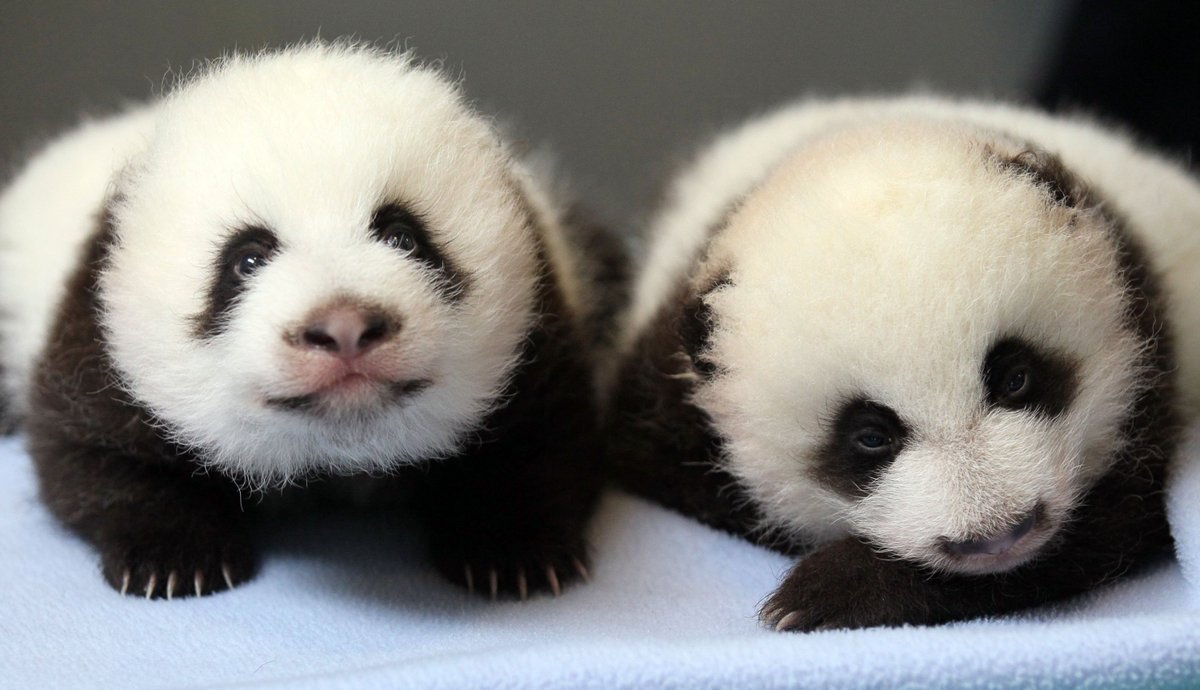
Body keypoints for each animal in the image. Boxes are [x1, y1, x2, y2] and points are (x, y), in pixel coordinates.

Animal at [0, 43, 605, 601]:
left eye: (403, 236)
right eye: (247, 259)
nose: (345, 328)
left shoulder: (538, 316)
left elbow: (541, 436)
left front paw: (516, 554)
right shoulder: (96, 329)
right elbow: (90, 451)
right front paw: (173, 557)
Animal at [608, 95, 1200, 631]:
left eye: (1015, 379)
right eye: (871, 436)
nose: (998, 536)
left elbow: (1106, 525)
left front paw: (826, 591)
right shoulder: (663, 395)